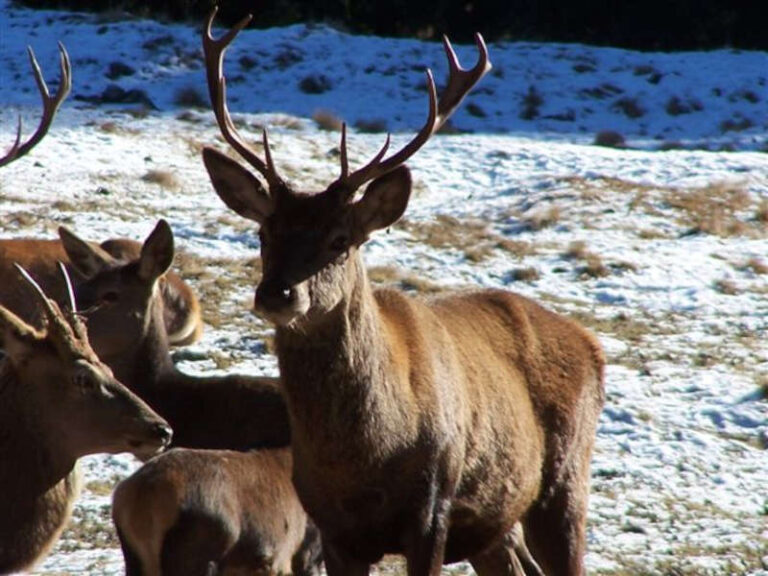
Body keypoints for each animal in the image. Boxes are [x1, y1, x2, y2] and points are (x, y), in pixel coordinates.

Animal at [202, 9, 608, 576]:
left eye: (340, 240)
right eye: (263, 233)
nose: (277, 294)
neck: (364, 458)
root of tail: (592, 344)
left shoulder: (432, 506)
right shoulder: (332, 526)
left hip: (566, 479)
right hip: (496, 521)